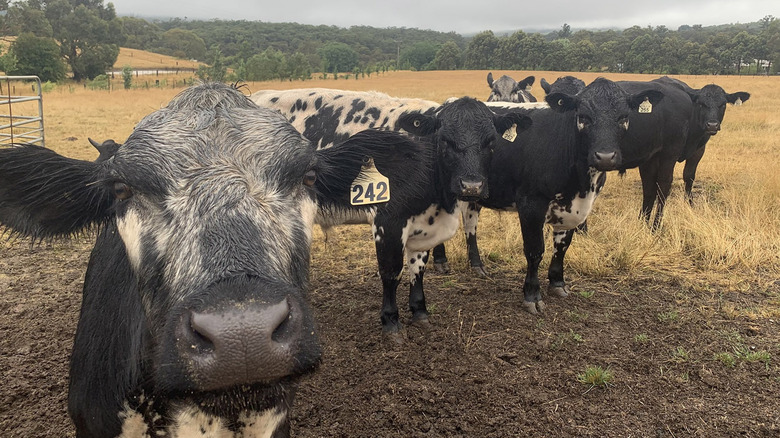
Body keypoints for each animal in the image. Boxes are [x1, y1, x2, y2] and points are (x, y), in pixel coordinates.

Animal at [250, 87, 532, 338]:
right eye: (445, 140)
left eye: (491, 142)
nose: (472, 186)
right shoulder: (389, 222)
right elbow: (391, 271)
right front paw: (391, 321)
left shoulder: (423, 223)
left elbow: (417, 269)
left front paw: (420, 312)